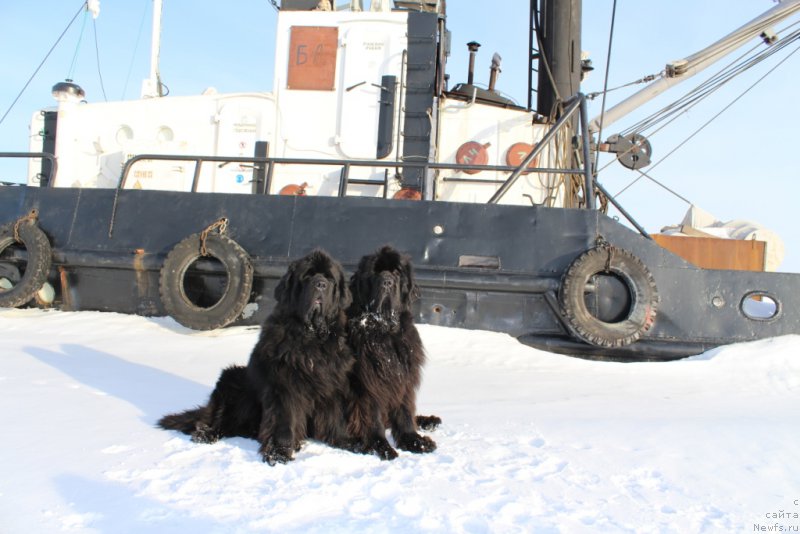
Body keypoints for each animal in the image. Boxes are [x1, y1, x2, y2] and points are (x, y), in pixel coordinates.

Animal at [346, 247, 440, 460]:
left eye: (397, 272)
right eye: (375, 272)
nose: (387, 281)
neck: (385, 330)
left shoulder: (402, 376)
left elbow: (404, 412)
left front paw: (415, 441)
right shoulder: (368, 382)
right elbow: (372, 417)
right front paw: (381, 447)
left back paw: (429, 421)